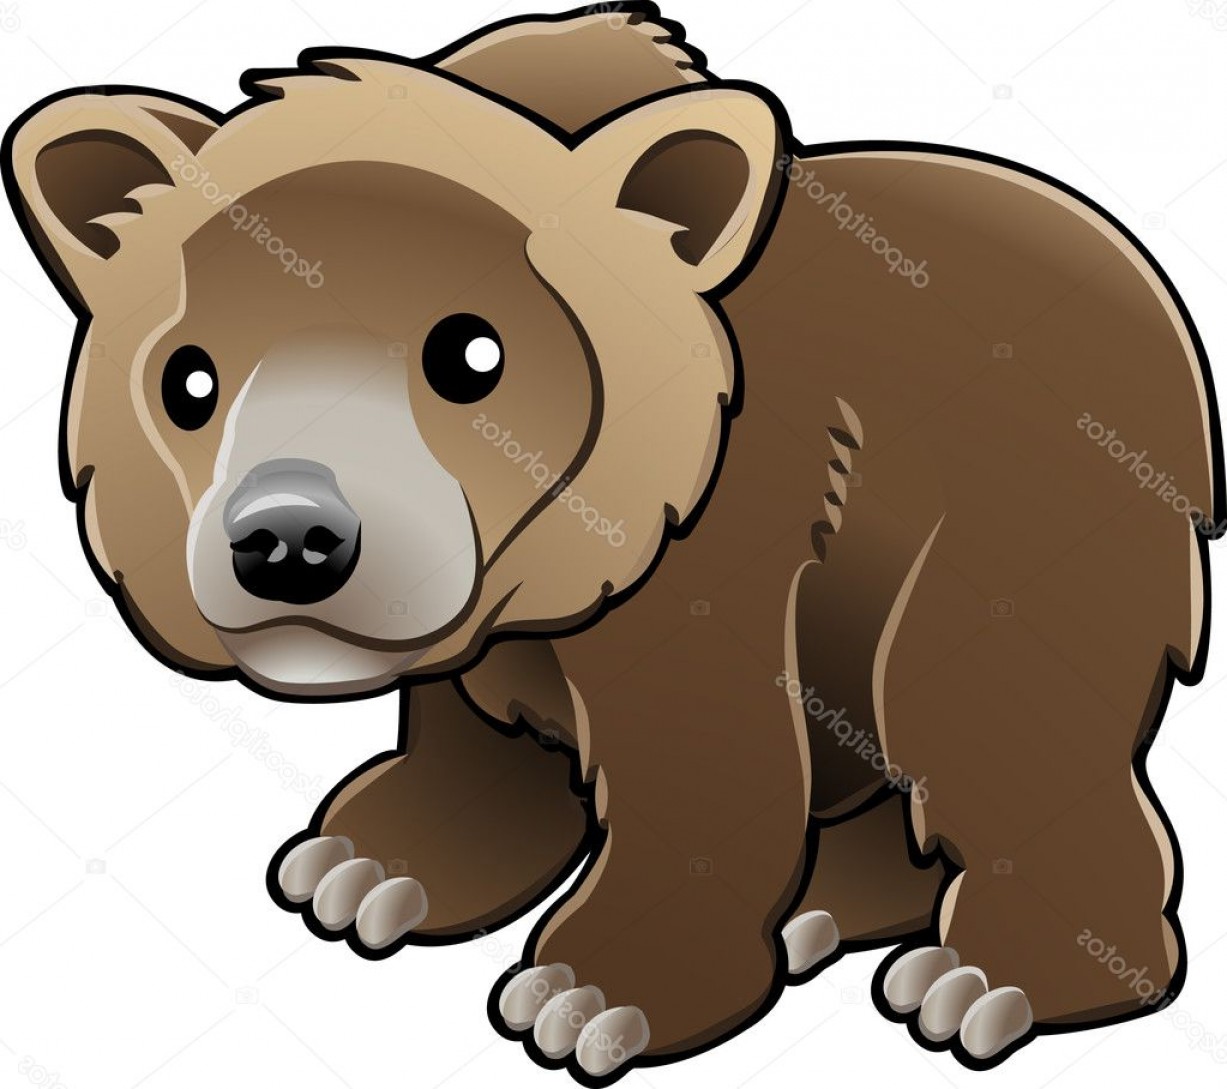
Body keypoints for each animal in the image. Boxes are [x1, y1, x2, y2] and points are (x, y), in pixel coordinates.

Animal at [4, 1, 1223, 1078]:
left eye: (472, 356)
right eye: (188, 379)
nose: (291, 537)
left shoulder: (716, 554)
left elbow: (701, 771)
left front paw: (591, 995)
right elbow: (478, 738)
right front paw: (367, 868)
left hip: (1013, 527)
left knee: (974, 716)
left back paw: (981, 981)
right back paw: (826, 907)